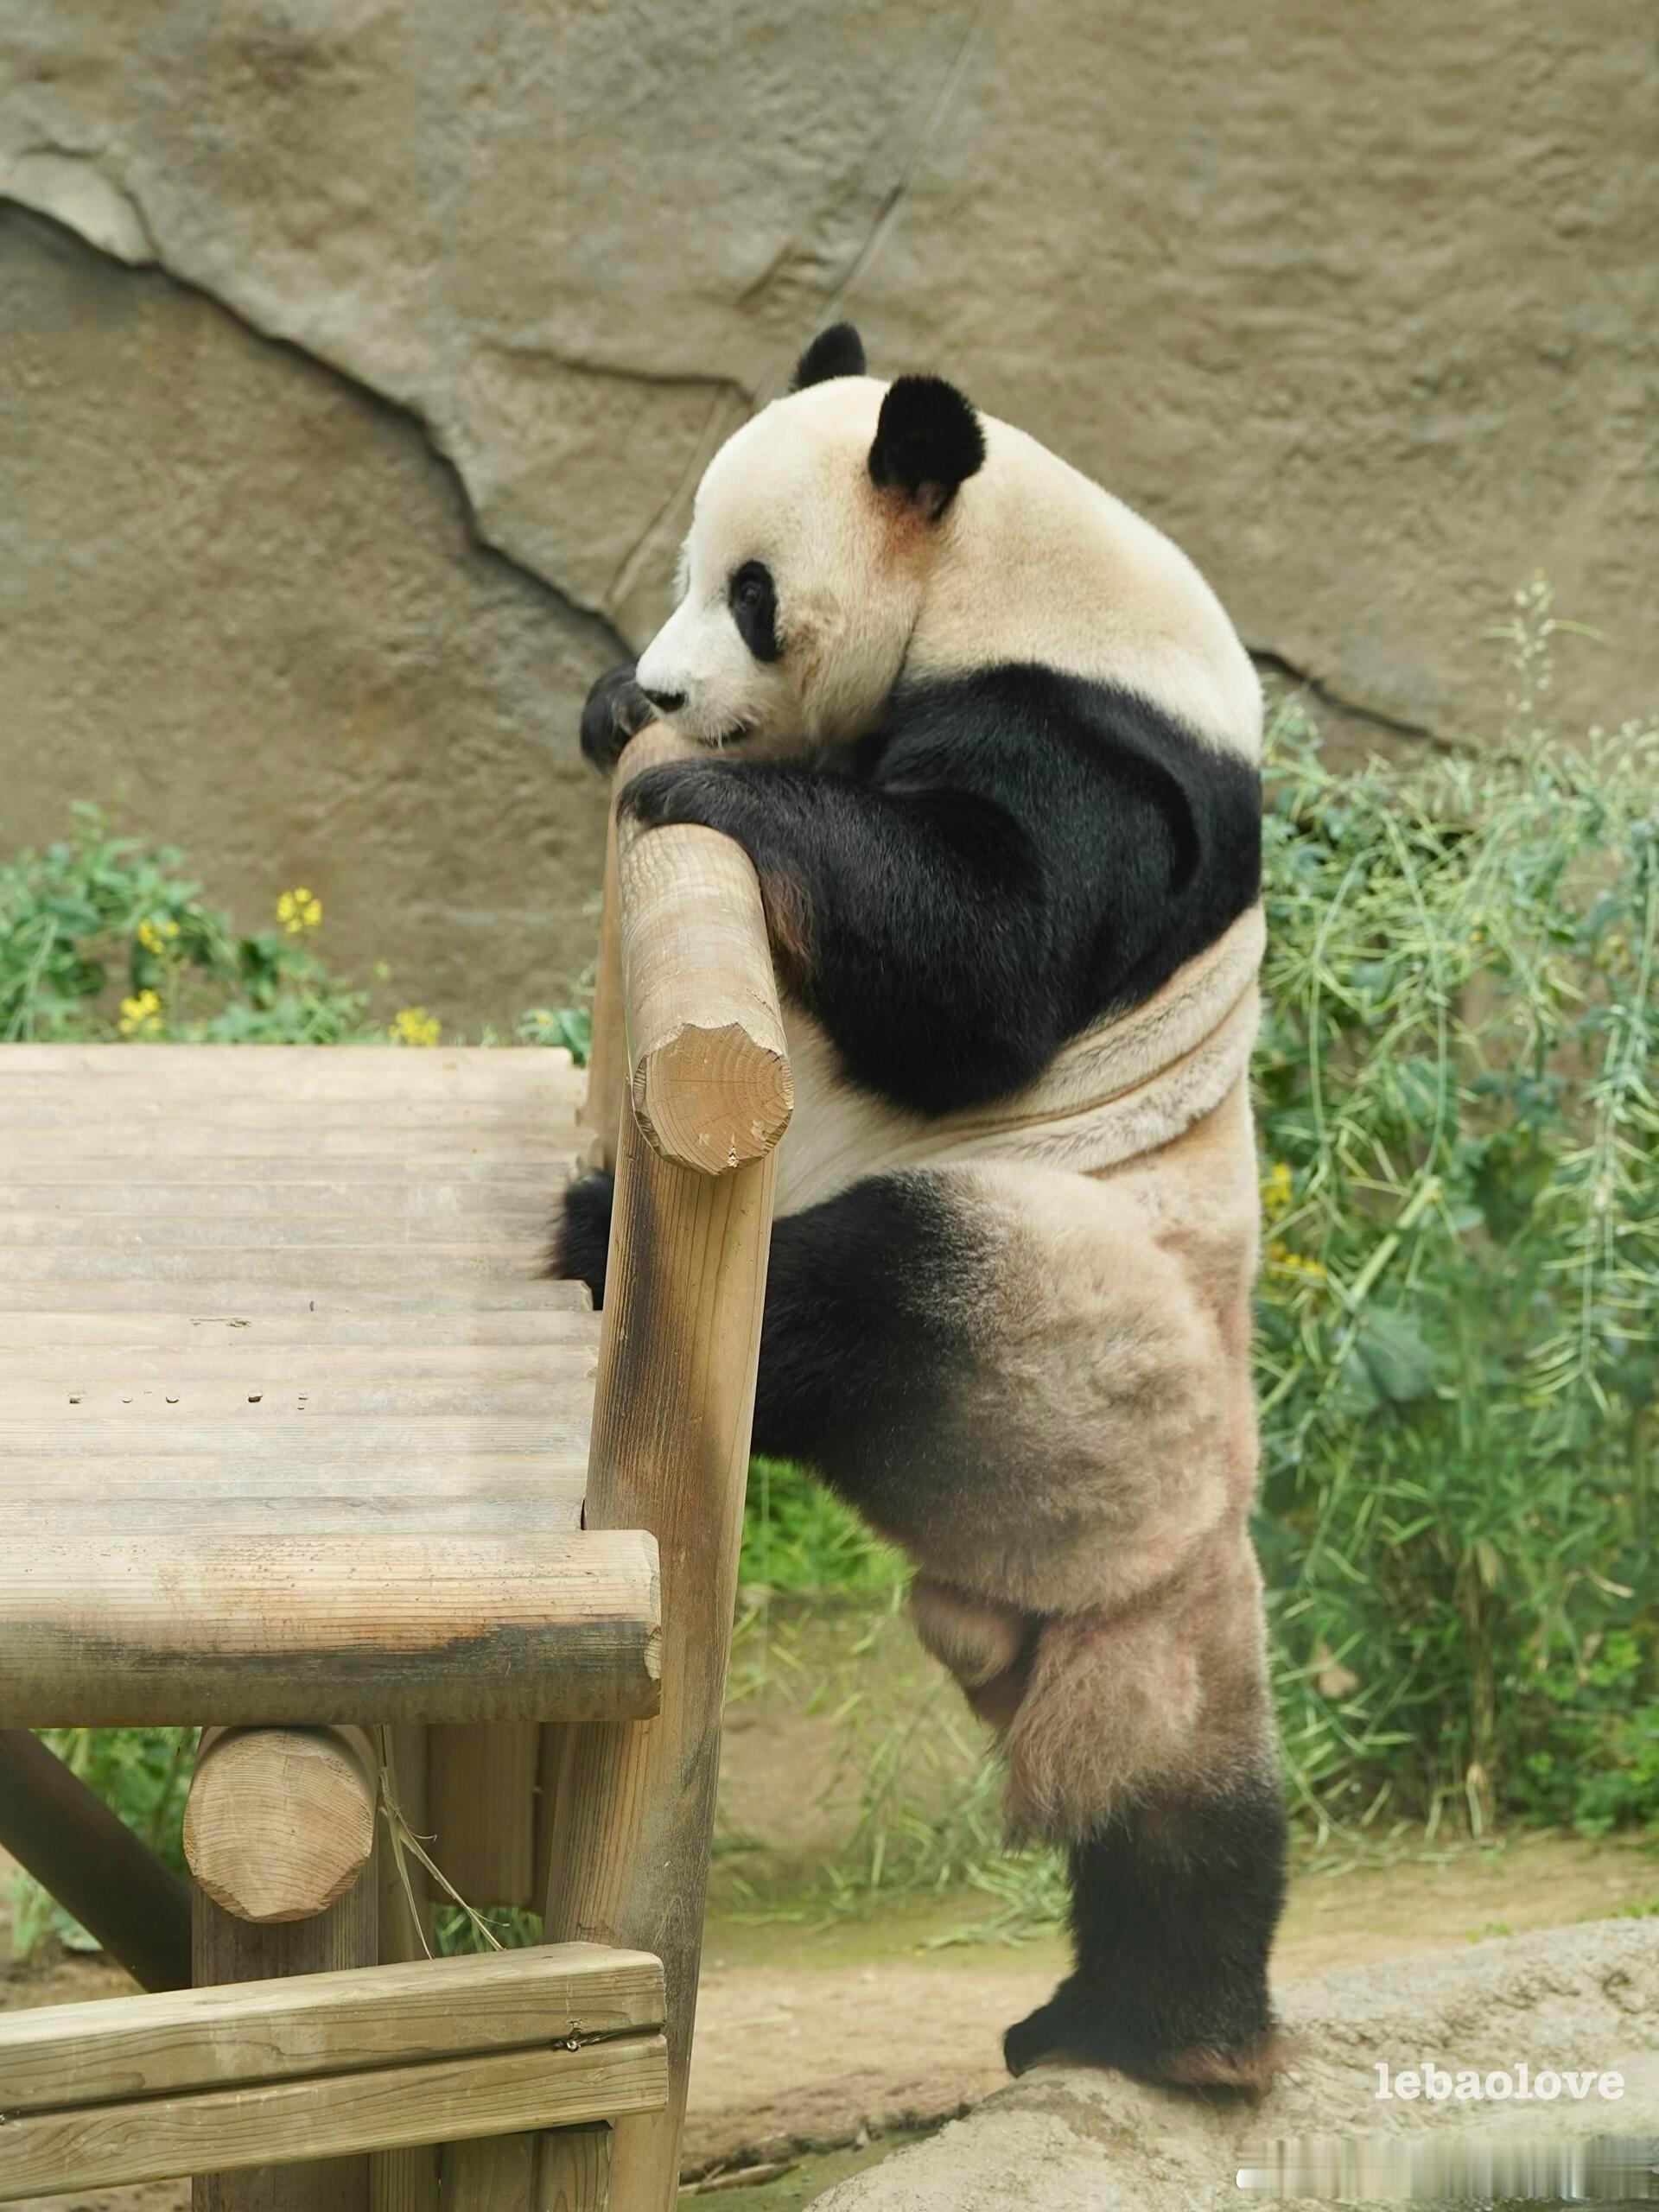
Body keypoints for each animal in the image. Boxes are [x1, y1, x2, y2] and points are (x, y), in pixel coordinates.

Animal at [556, 322, 1286, 2092]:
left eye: (752, 592)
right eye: (685, 574)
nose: (664, 691)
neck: (1009, 574)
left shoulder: (1095, 756)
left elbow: (984, 961)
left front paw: (703, 800)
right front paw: (612, 714)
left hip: (1067, 1303)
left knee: (877, 1285)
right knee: (1162, 1767)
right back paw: (1128, 2017)